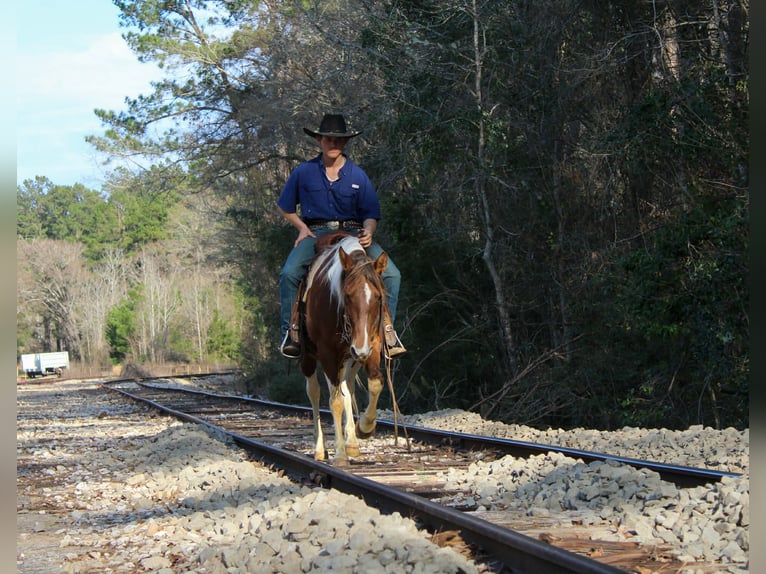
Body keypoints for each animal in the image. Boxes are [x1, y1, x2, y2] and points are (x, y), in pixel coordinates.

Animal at [299, 231, 388, 466]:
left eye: (378, 296)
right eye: (347, 295)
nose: (360, 349)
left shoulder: (372, 344)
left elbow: (375, 383)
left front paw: (365, 427)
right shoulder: (328, 353)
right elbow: (335, 401)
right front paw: (339, 454)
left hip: (350, 358)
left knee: (347, 387)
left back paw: (352, 443)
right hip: (310, 357)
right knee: (314, 392)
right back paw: (320, 448)